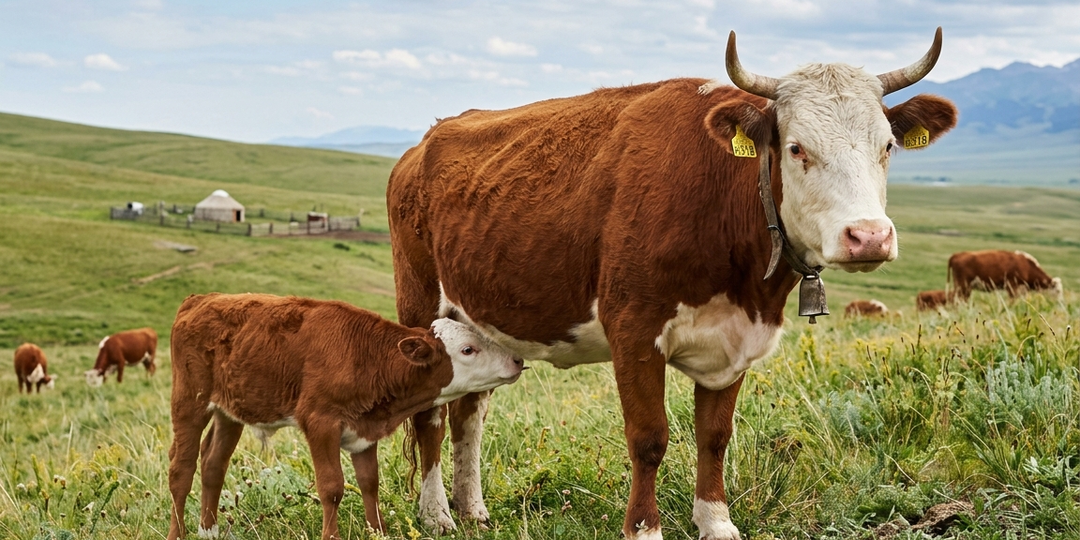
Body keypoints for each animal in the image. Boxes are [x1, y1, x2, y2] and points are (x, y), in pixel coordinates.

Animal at [166, 293, 524, 540]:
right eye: (468, 349)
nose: (517, 360)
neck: (365, 355)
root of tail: (201, 299)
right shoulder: (320, 421)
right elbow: (332, 486)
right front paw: (332, 535)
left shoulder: (364, 431)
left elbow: (369, 482)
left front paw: (378, 531)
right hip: (189, 402)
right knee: (181, 471)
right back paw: (178, 533)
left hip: (230, 411)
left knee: (213, 463)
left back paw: (209, 530)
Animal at [386, 28, 957, 540]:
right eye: (797, 148)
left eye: (887, 145)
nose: (869, 236)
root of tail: (421, 146)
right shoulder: (635, 331)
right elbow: (649, 437)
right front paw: (644, 529)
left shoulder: (736, 340)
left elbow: (715, 436)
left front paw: (717, 522)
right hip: (421, 307)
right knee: (431, 416)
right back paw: (437, 515)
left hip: (479, 320)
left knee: (469, 412)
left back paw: (473, 511)